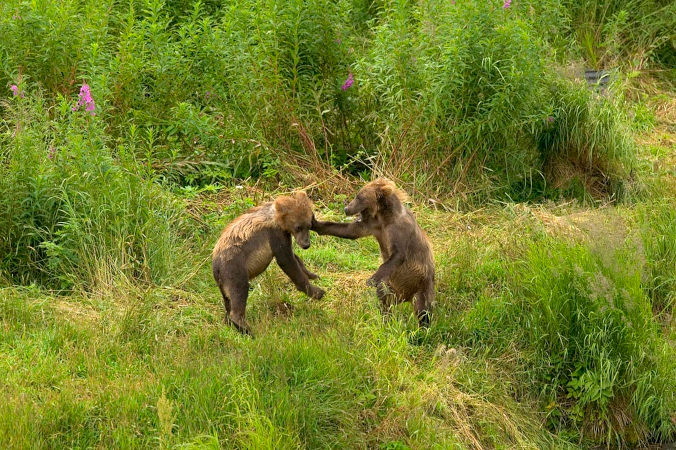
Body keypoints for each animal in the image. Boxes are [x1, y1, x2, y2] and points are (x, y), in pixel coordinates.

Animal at [214, 192, 324, 336]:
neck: (277, 219)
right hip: (234, 269)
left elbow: (296, 258)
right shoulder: (275, 235)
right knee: (239, 292)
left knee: (228, 300)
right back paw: (247, 330)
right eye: (298, 227)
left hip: (222, 283)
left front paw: (313, 275)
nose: (306, 244)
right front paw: (317, 292)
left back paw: (229, 323)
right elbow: (287, 261)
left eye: (309, 225)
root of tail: (216, 265)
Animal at [310, 178, 434, 326]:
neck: (384, 217)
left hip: (422, 284)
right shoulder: (373, 225)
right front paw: (314, 222)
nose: (346, 209)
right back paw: (386, 320)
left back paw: (423, 328)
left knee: (423, 310)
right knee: (385, 298)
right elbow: (348, 230)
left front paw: (372, 279)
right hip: (392, 286)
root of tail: (406, 297)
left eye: (359, 197)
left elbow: (398, 254)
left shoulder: (399, 229)